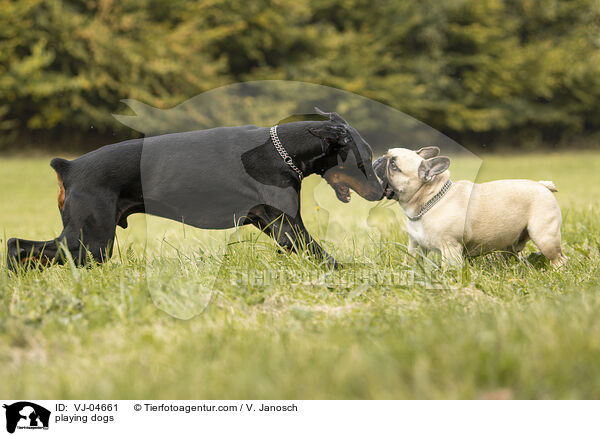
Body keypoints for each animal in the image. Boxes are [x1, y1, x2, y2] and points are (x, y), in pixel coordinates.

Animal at [7, 109, 382, 270]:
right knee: (18, 246)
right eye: (365, 160)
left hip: (88, 241)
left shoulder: (269, 222)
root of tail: (68, 167)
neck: (281, 150)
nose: (381, 193)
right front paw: (352, 270)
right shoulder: (286, 222)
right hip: (92, 241)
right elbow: (317, 250)